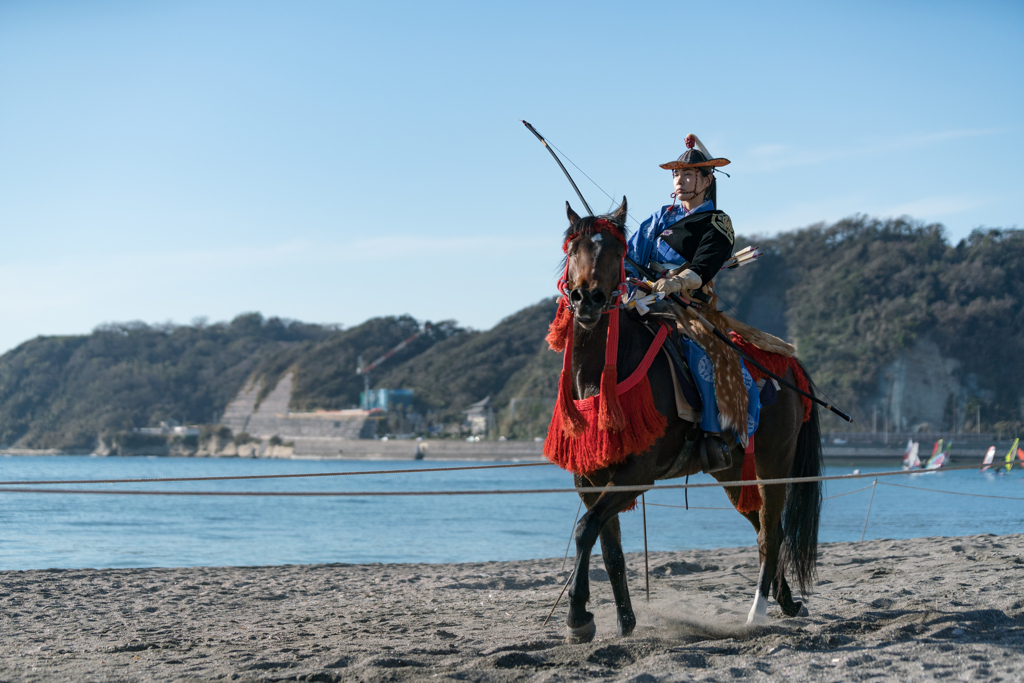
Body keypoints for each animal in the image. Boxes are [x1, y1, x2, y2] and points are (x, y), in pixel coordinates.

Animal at [552, 198, 823, 642]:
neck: (598, 377)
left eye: (616, 251)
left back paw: (757, 613)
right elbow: (609, 548)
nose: (587, 298)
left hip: (774, 462)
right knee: (763, 528)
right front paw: (624, 622)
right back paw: (785, 601)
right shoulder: (589, 477)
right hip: (732, 472)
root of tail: (789, 365)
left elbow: (585, 530)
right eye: (573, 250)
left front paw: (578, 616)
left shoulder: (636, 474)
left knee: (771, 531)